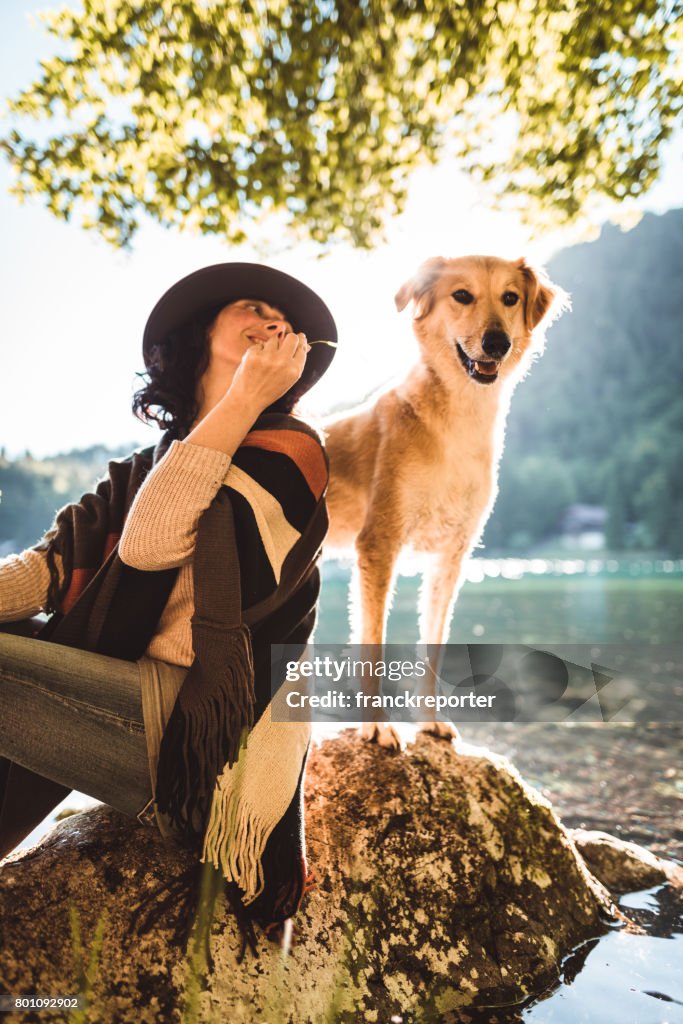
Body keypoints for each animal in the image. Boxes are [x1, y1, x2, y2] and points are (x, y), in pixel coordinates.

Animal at [323, 256, 569, 749]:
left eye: (510, 297)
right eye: (462, 295)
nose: (497, 342)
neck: (453, 423)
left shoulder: (450, 557)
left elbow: (433, 643)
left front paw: (428, 720)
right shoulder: (378, 545)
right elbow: (374, 643)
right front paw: (376, 725)